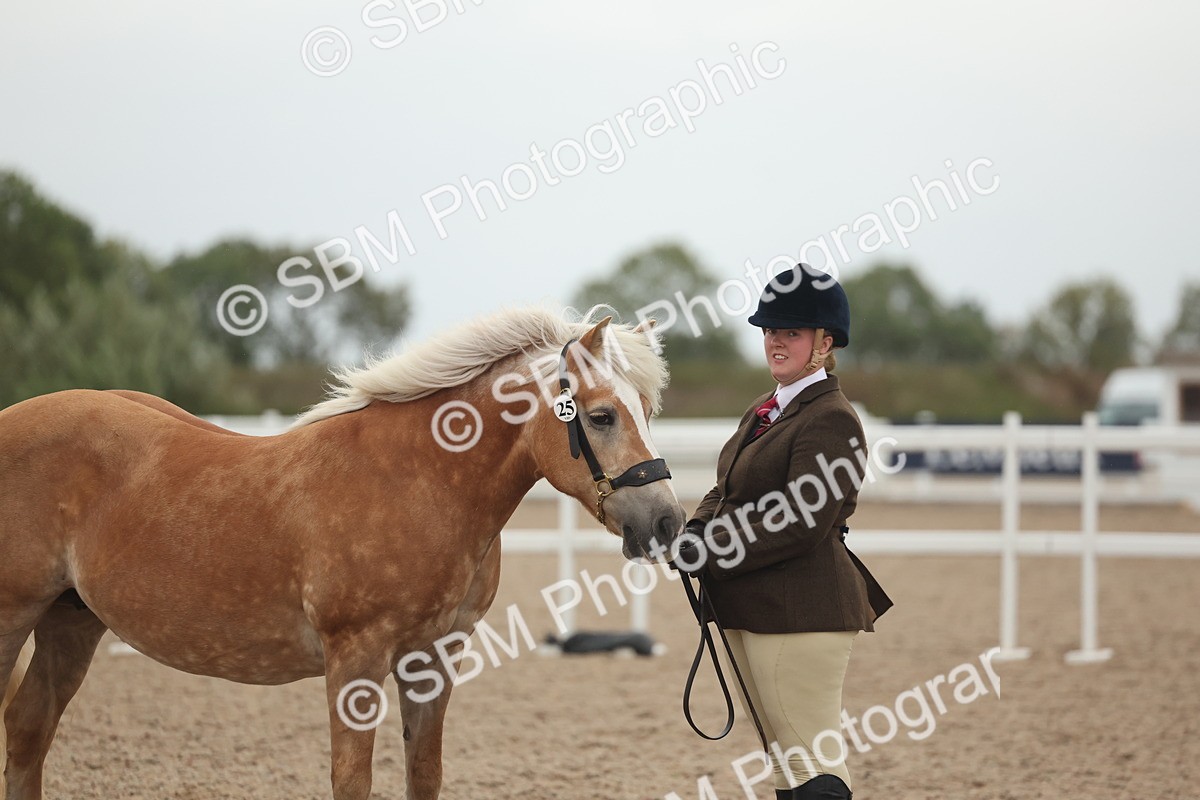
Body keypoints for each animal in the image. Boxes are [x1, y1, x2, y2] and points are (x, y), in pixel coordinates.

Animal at [0, 308, 686, 800]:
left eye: (650, 411)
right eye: (601, 416)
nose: (667, 521)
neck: (420, 479)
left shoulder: (433, 658)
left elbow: (424, 774)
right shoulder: (355, 657)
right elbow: (352, 782)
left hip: (72, 619)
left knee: (29, 730)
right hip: (15, 616)